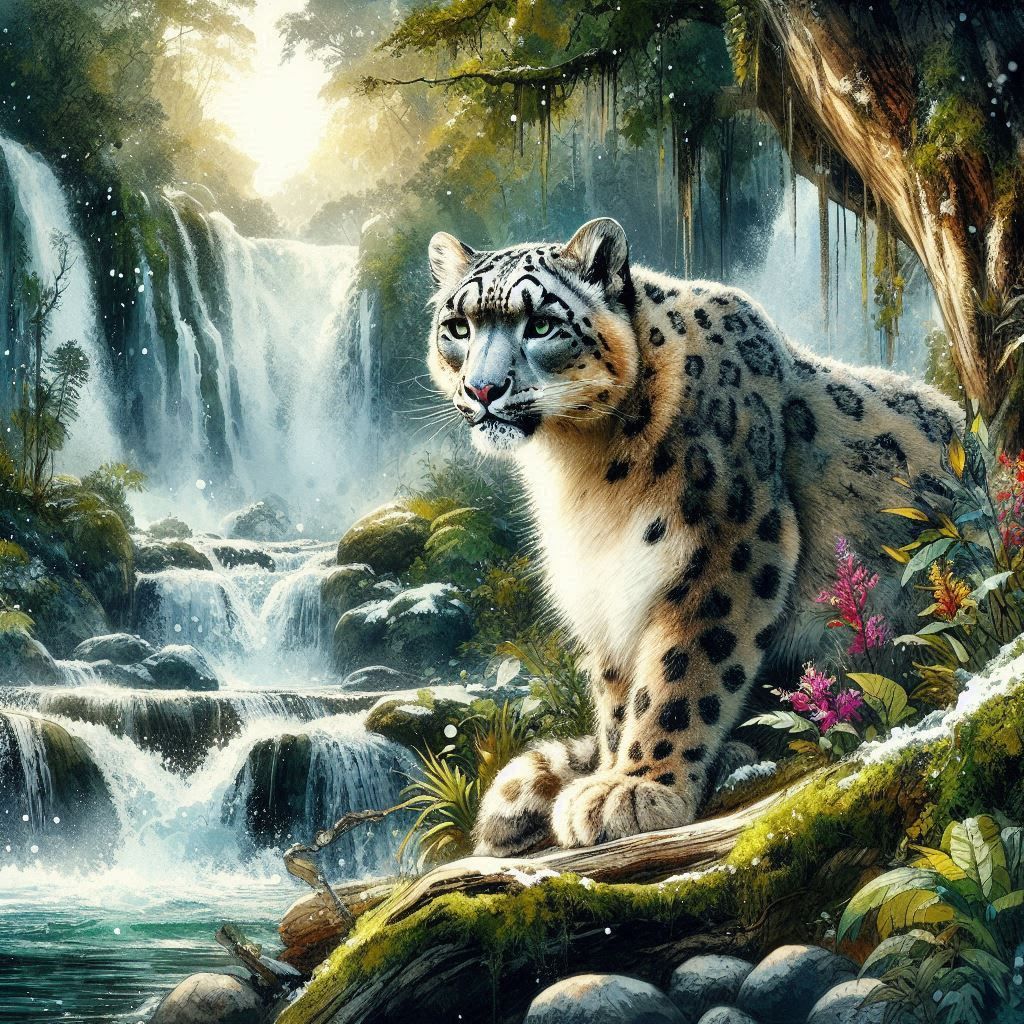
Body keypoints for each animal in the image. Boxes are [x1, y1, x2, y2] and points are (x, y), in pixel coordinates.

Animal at [425, 217, 962, 856]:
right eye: (458, 328)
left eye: (541, 324)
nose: (482, 389)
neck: (581, 470)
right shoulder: (605, 589)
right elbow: (618, 697)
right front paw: (608, 774)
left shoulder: (727, 545)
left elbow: (679, 676)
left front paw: (634, 789)